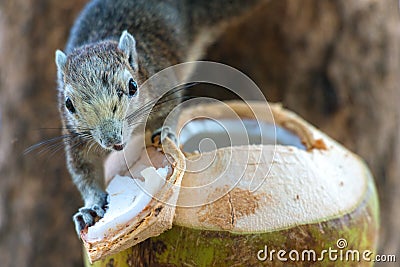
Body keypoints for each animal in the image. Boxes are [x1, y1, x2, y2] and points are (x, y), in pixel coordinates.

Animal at [54, 0, 266, 237]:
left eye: (132, 86)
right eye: (68, 104)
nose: (112, 140)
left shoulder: (165, 90)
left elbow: (171, 113)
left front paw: (165, 132)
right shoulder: (75, 139)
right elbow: (84, 171)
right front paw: (90, 207)